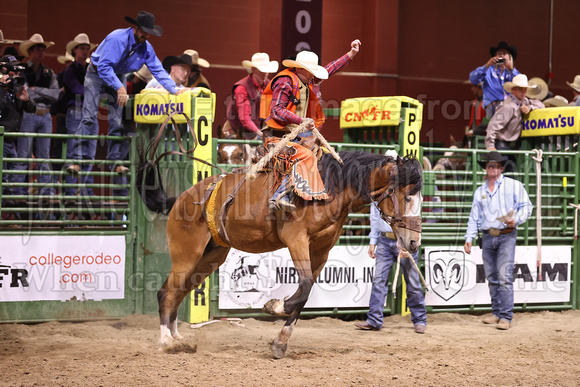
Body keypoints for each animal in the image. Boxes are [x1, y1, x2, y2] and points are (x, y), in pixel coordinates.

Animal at [138, 150, 424, 360]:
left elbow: (305, 294)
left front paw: (280, 342)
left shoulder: (321, 251)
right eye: (408, 197)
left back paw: (177, 338)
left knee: (178, 292)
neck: (329, 187)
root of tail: (181, 198)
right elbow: (304, 286)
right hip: (186, 253)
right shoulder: (296, 239)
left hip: (209, 257)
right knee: (166, 292)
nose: (413, 242)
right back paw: (166, 341)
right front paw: (274, 306)